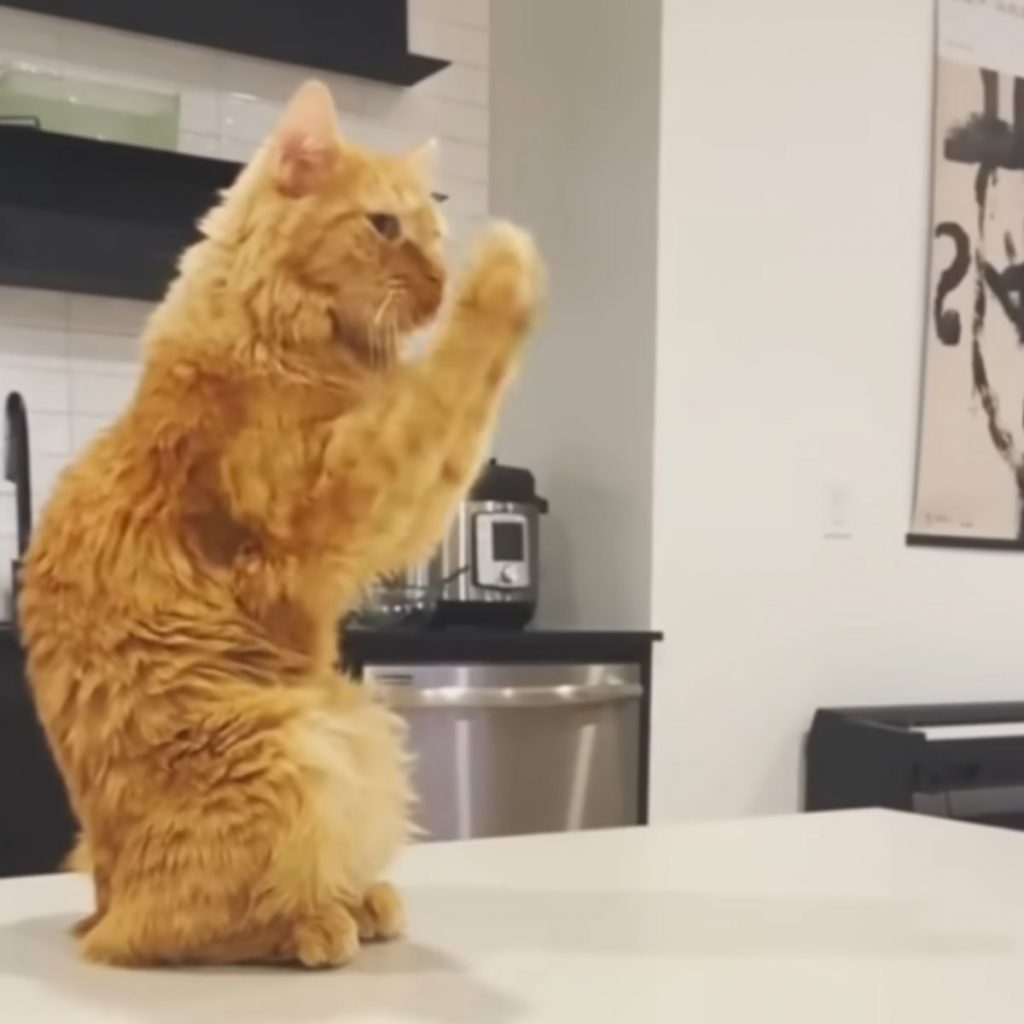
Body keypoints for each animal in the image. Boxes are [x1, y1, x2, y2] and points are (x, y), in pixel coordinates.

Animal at [18, 81, 544, 966]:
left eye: (434, 235)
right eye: (386, 227)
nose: (440, 280)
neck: (276, 336)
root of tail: (104, 899)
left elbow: (449, 415)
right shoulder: (347, 499)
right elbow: (449, 393)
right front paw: (507, 271)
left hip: (355, 723)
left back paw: (361, 900)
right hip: (296, 741)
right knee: (184, 930)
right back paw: (316, 923)